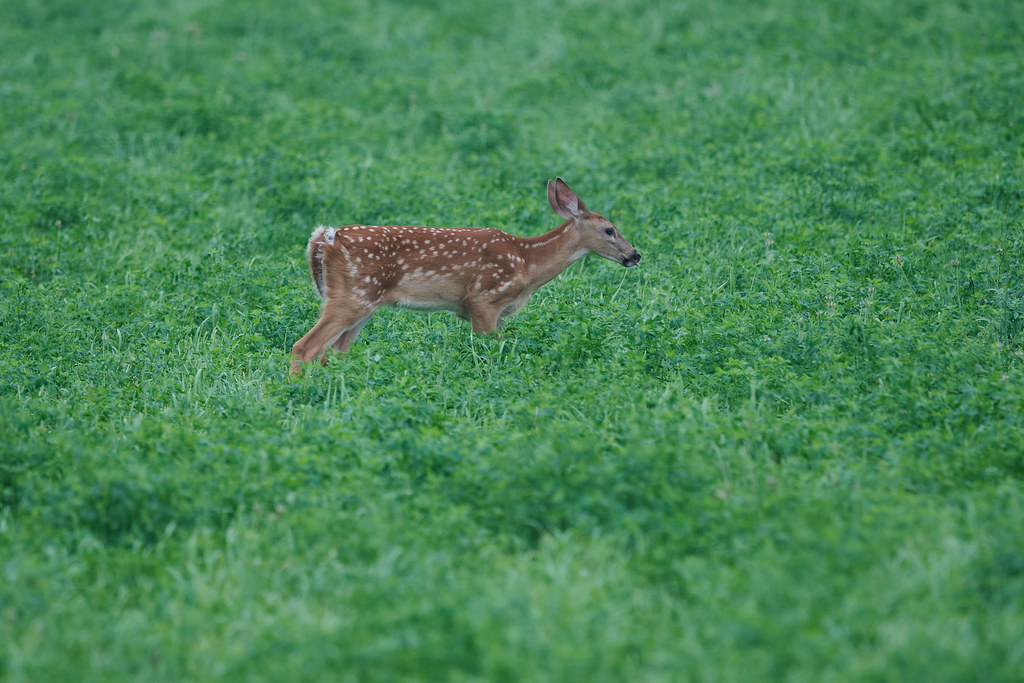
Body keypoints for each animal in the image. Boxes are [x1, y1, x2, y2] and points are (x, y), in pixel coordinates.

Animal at [289, 177, 641, 376]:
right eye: (610, 229)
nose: (635, 254)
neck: (527, 262)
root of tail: (324, 238)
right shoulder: (483, 299)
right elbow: (490, 350)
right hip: (352, 296)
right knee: (304, 347)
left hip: (364, 304)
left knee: (334, 352)